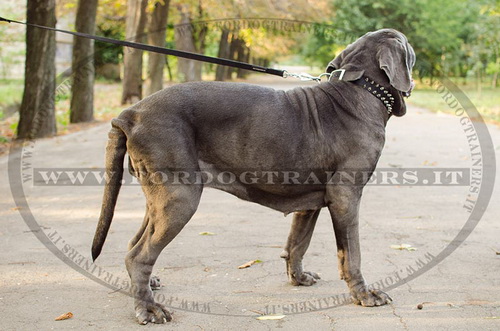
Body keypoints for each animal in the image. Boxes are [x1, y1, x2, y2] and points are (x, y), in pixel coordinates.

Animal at [92, 28, 416, 324]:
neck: (359, 89)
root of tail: (130, 113)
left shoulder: (310, 201)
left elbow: (298, 242)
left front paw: (298, 277)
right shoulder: (346, 196)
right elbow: (351, 252)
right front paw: (364, 294)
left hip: (160, 199)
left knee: (135, 244)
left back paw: (148, 287)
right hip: (180, 199)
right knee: (139, 255)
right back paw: (148, 309)